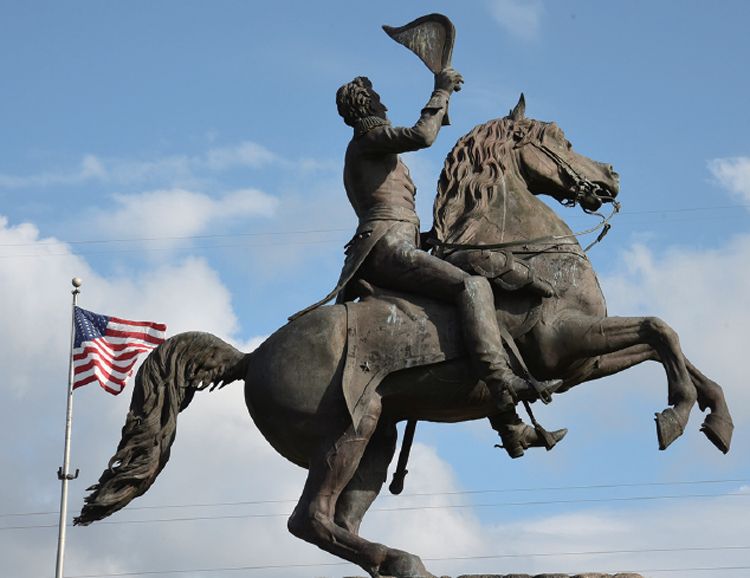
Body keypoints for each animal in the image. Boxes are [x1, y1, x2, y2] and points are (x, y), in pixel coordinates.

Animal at [73, 97, 732, 572]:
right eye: (562, 140)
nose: (611, 177)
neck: (532, 254)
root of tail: (252, 357)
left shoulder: (577, 364)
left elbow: (666, 342)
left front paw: (715, 418)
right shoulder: (562, 346)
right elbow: (660, 329)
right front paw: (676, 415)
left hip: (380, 440)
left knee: (338, 522)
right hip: (349, 432)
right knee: (310, 519)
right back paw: (406, 560)